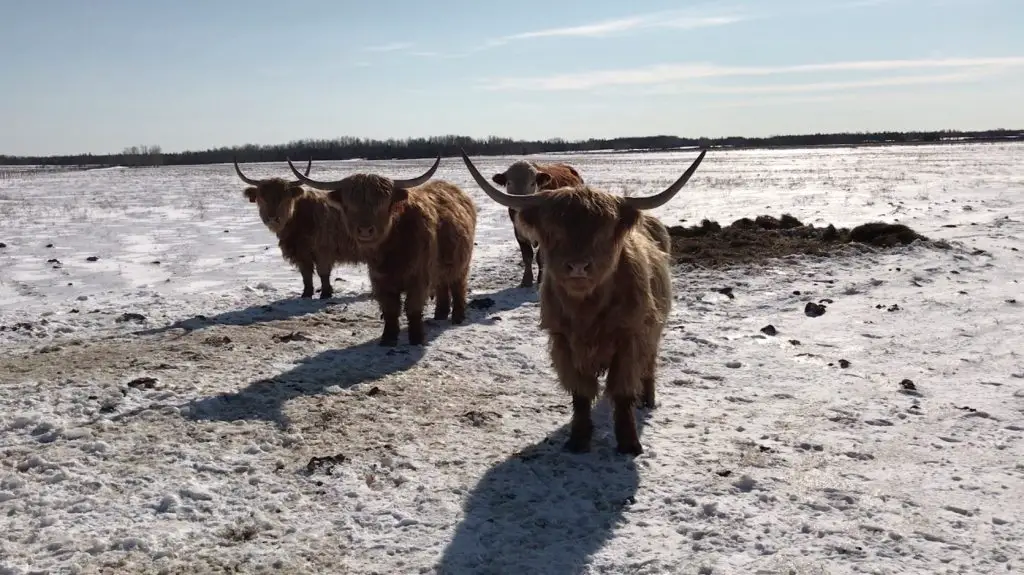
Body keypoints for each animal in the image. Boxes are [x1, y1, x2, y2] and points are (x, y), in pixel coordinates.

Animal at [233, 157, 365, 300]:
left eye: (284, 198)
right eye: (261, 198)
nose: (272, 218)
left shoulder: (323, 250)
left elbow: (323, 272)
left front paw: (325, 293)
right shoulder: (300, 253)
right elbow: (306, 274)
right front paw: (306, 294)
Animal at [284, 155, 478, 347]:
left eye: (383, 205)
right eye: (349, 206)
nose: (365, 230)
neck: (392, 250)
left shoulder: (420, 278)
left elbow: (413, 307)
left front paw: (417, 338)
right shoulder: (380, 279)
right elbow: (390, 308)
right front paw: (388, 338)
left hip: (462, 263)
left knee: (458, 285)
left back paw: (458, 316)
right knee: (443, 285)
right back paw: (440, 314)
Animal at [460, 148, 707, 456]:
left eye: (604, 232)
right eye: (554, 230)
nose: (578, 266)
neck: (587, 310)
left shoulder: (630, 339)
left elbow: (623, 392)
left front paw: (629, 442)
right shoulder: (563, 342)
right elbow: (580, 393)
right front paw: (578, 438)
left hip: (654, 328)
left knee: (649, 362)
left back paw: (648, 398)